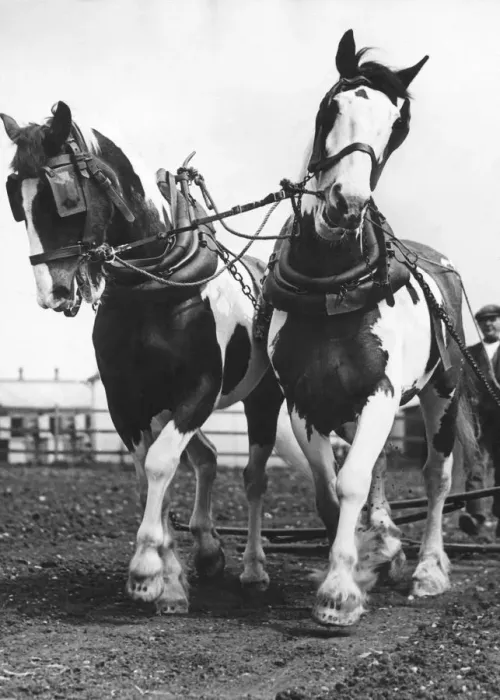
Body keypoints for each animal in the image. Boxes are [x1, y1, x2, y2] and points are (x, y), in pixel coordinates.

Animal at [0, 102, 316, 613]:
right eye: (16, 199)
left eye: (63, 198)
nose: (53, 293)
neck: (153, 285)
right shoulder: (126, 403)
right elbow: (150, 479)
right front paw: (169, 581)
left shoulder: (198, 392)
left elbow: (161, 465)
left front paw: (147, 568)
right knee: (207, 459)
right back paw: (207, 551)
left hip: (262, 399)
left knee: (252, 477)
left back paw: (253, 568)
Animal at [262, 29, 479, 626]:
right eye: (330, 107)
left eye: (396, 129)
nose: (347, 204)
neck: (329, 283)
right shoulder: (304, 399)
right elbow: (328, 489)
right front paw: (365, 559)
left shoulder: (382, 392)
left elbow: (355, 479)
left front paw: (340, 591)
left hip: (441, 390)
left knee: (436, 476)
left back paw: (429, 568)